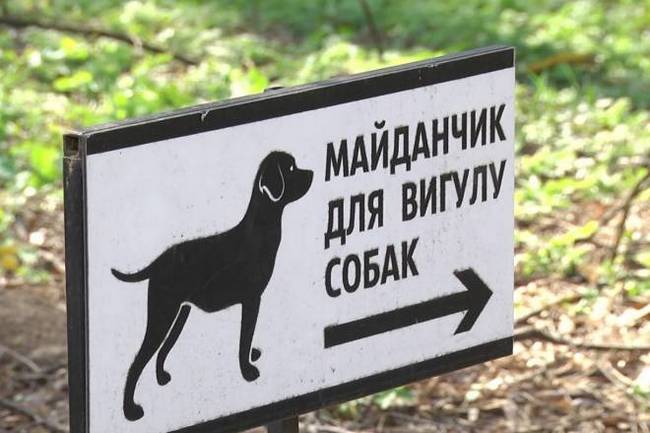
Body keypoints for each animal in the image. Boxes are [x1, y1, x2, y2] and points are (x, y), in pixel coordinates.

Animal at [111, 151, 313, 421]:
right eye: (290, 170)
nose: (312, 173)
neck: (259, 232)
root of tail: (159, 261)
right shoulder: (251, 299)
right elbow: (244, 340)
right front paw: (247, 371)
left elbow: (247, 339)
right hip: (162, 314)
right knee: (137, 362)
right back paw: (130, 411)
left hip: (179, 313)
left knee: (161, 352)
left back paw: (162, 378)